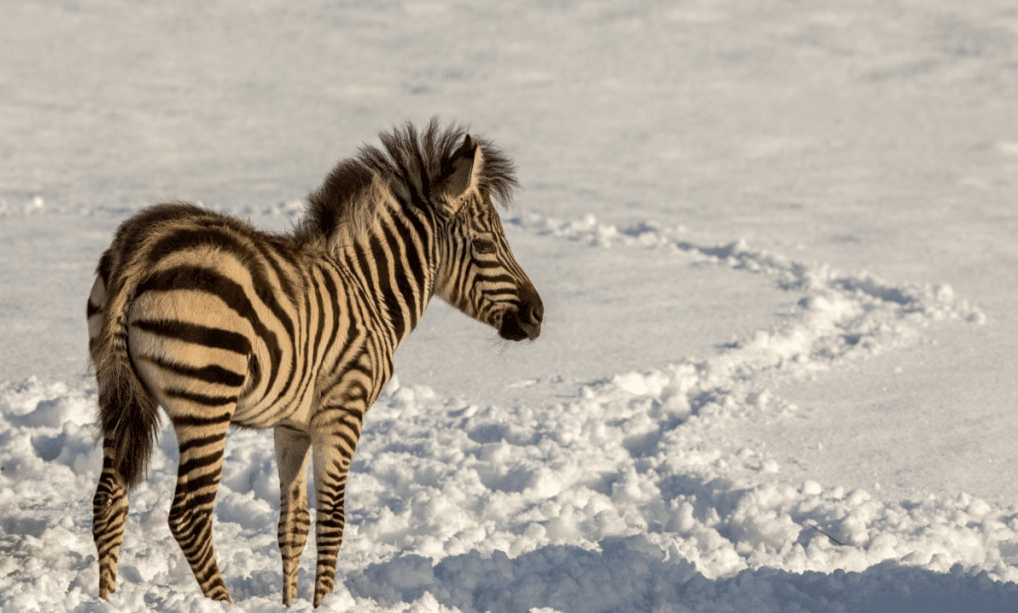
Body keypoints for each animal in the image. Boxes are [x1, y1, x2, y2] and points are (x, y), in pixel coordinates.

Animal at [89, 118, 541, 602]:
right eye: (485, 243)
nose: (538, 315)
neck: (368, 290)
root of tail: (145, 246)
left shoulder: (293, 426)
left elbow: (294, 524)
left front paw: (289, 603)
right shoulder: (342, 413)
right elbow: (332, 522)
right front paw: (323, 602)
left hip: (115, 390)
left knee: (108, 503)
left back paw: (106, 600)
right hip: (206, 399)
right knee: (189, 517)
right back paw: (222, 603)